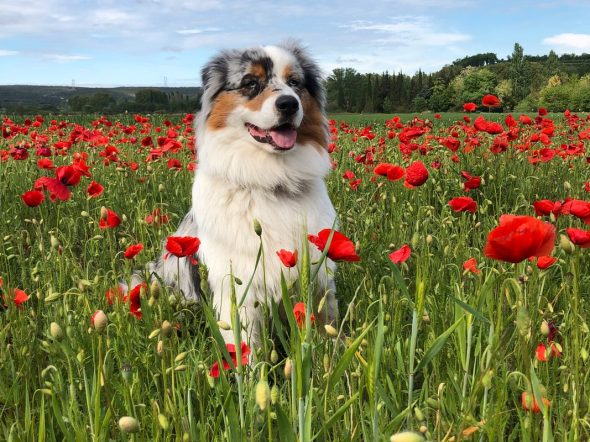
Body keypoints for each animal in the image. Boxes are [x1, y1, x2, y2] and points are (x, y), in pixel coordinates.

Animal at [134, 42, 340, 346]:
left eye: (295, 83)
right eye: (250, 83)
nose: (289, 103)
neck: (270, 180)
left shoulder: (319, 276)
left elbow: (329, 328)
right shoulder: (236, 286)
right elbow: (247, 346)